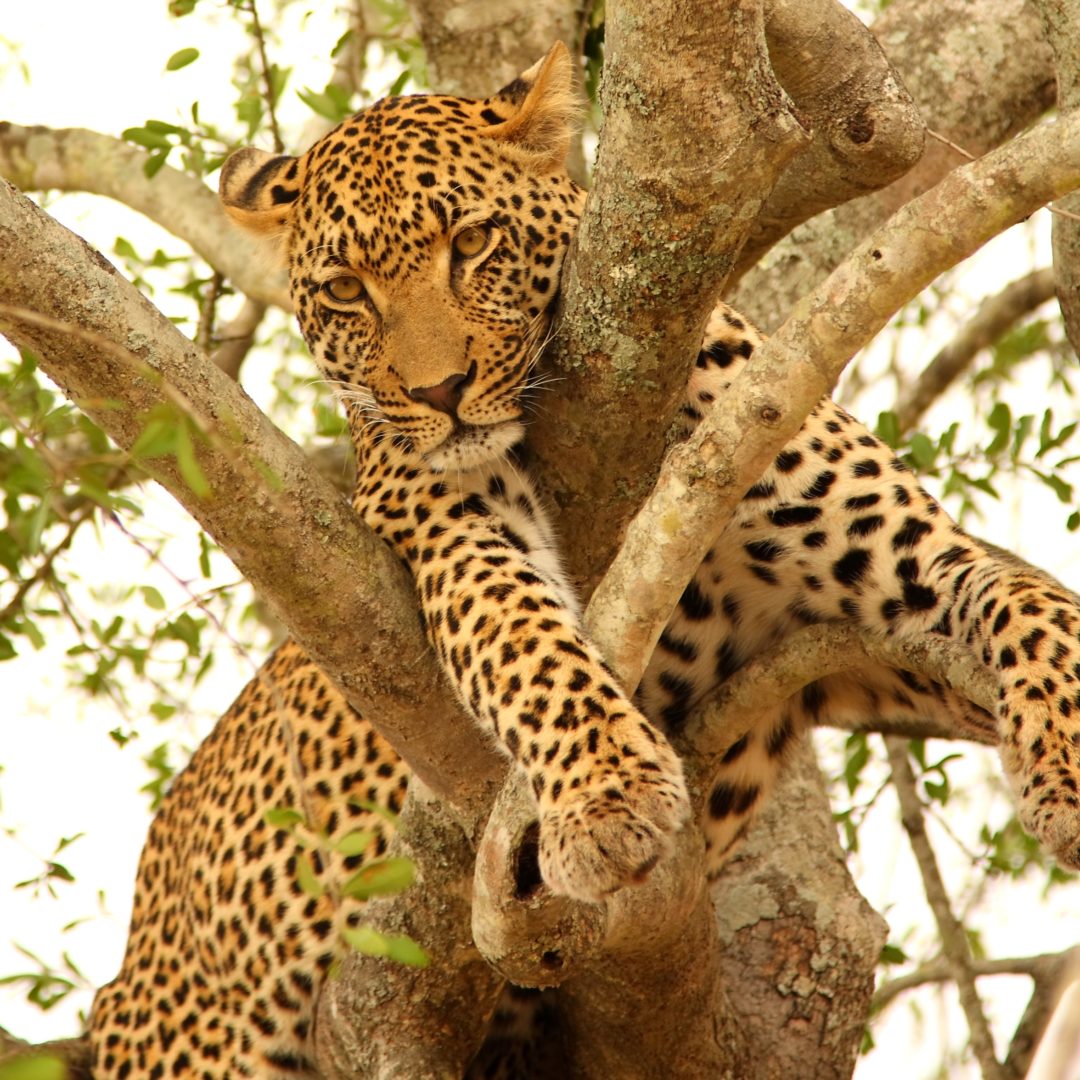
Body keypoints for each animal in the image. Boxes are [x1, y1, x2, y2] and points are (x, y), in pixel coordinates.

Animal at [88, 38, 1080, 1075]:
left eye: (472, 242)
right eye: (347, 291)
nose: (439, 391)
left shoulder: (890, 584)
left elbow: (1031, 601)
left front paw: (1065, 761)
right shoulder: (449, 519)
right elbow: (526, 644)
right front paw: (609, 795)